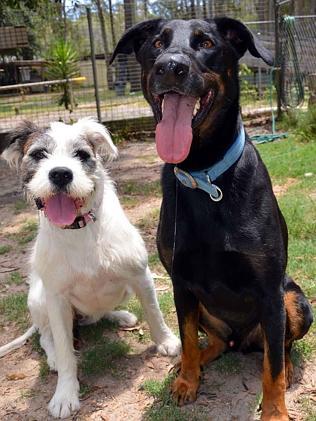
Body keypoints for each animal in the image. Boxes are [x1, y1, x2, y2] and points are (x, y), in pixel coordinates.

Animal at [0, 118, 180, 416]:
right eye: (39, 154)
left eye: (81, 154)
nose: (61, 174)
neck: (79, 229)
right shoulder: (57, 299)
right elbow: (64, 350)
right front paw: (65, 394)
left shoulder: (140, 275)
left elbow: (155, 314)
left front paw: (166, 342)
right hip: (39, 298)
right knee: (45, 336)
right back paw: (52, 357)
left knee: (99, 313)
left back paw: (120, 316)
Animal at [110, 17, 312, 420]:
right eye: (157, 43)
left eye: (206, 43)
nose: (170, 67)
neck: (204, 175)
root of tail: (241, 341)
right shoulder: (181, 285)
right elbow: (187, 340)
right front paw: (188, 381)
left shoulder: (270, 290)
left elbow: (272, 368)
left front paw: (275, 411)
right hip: (205, 309)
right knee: (216, 342)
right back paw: (196, 364)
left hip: (293, 300)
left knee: (279, 347)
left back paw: (287, 366)